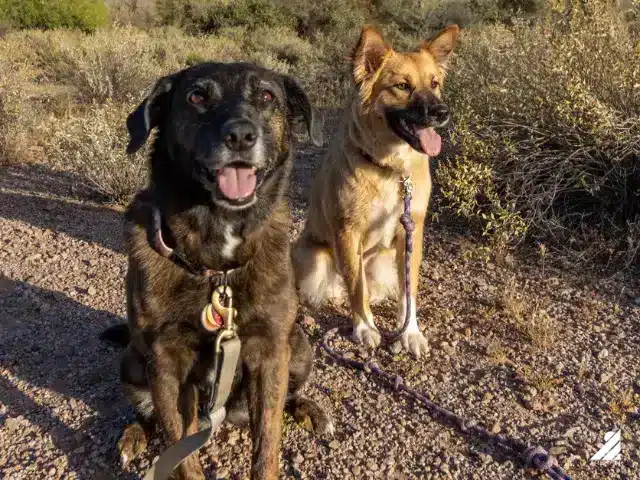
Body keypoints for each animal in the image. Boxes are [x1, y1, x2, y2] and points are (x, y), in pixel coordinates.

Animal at [101, 62, 330, 480]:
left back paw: (308, 409)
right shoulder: (166, 364)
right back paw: (133, 435)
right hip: (131, 361)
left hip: (299, 346)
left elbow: (267, 443)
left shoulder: (270, 352)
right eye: (196, 97)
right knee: (149, 416)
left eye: (267, 96)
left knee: (288, 394)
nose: (240, 135)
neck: (217, 267)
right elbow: (181, 453)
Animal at [292, 24, 458, 358]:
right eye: (402, 86)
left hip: (382, 258)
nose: (442, 111)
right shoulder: (348, 231)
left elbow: (409, 290)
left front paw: (409, 332)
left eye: (434, 83)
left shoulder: (411, 232)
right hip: (315, 257)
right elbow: (357, 288)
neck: (391, 169)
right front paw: (364, 327)